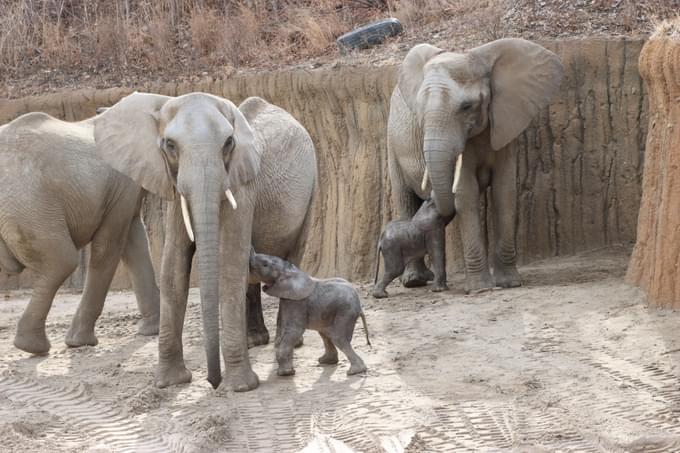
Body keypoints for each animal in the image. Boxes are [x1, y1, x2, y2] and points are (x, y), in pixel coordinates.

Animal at [0, 112, 161, 354]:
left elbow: (134, 241)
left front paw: (153, 331)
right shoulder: (122, 182)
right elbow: (110, 246)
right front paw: (80, 343)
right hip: (31, 205)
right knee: (63, 262)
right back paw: (33, 347)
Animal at [94, 91, 318, 388]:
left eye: (228, 143)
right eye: (170, 145)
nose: (213, 381)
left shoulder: (242, 186)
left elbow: (231, 264)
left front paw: (240, 387)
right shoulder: (175, 186)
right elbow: (173, 268)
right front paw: (170, 382)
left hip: (311, 192)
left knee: (293, 257)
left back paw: (290, 341)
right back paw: (254, 341)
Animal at [388, 38, 564, 294]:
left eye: (467, 107)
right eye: (419, 110)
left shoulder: (504, 127)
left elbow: (505, 191)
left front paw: (510, 283)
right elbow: (466, 194)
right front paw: (481, 289)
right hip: (391, 143)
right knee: (404, 198)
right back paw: (415, 281)